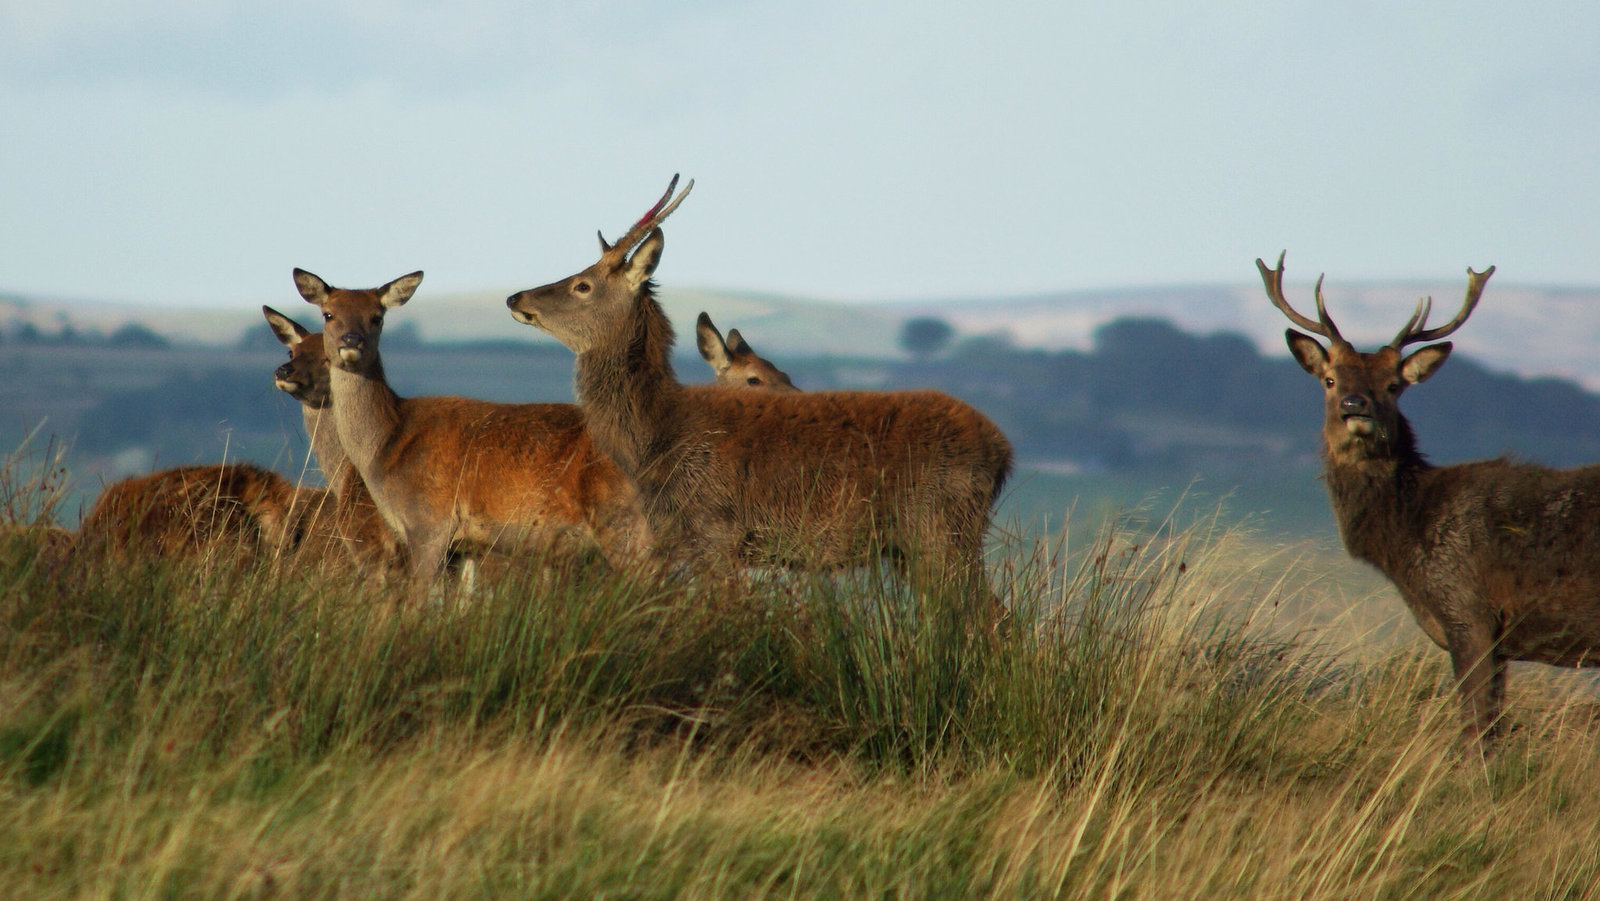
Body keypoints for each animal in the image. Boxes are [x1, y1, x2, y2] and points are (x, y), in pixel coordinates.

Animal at [294, 267, 649, 595]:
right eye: (328, 314)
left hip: (626, 523)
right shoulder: (462, 548)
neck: (386, 446)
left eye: (377, 317)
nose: (350, 342)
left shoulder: (429, 524)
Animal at [508, 176, 1011, 620]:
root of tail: (1002, 451)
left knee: (993, 616)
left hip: (942, 526)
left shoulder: (717, 531)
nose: (516, 297)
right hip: (918, 543)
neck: (654, 441)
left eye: (583, 284)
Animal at [1260, 249, 1600, 742]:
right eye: (1329, 379)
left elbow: (1475, 731)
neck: (1404, 539)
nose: (1355, 407)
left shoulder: (1469, 611)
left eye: (1393, 385)